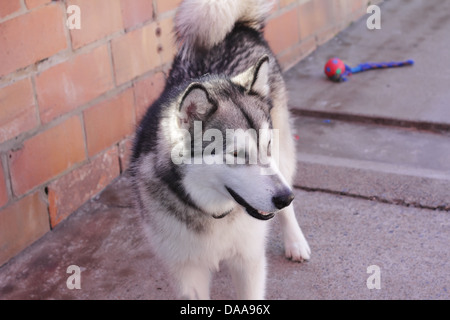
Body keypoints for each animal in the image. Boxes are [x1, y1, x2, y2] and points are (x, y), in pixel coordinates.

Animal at [131, 0, 310, 300]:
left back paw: (295, 241)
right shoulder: (186, 270)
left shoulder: (249, 260)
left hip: (284, 155)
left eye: (266, 145)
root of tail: (237, 28)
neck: (214, 214)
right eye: (236, 154)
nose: (285, 197)